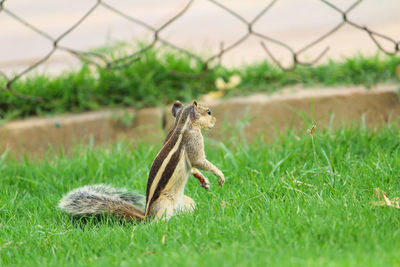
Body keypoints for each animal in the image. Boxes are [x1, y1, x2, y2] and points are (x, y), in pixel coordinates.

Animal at [57, 100, 225, 222]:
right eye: (208, 111)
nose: (216, 120)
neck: (182, 123)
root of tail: (146, 216)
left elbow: (194, 166)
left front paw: (202, 179)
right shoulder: (193, 141)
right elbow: (199, 160)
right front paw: (219, 174)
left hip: (187, 202)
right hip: (164, 205)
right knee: (156, 223)